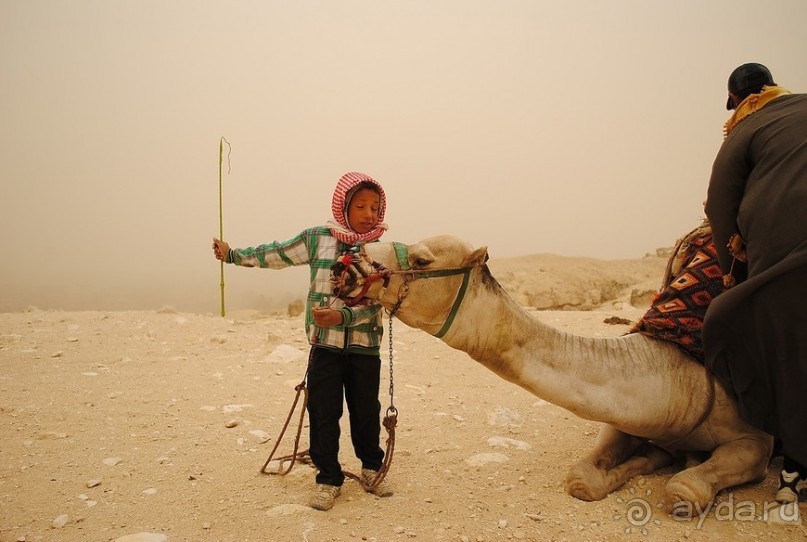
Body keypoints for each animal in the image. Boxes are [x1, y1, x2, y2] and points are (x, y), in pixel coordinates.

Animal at [334, 236, 776, 516]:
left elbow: (684, 489)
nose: (347, 265)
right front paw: (651, 458)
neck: (681, 377)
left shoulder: (756, 439)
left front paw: (673, 464)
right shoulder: (626, 419)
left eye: (423, 260)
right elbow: (581, 479)